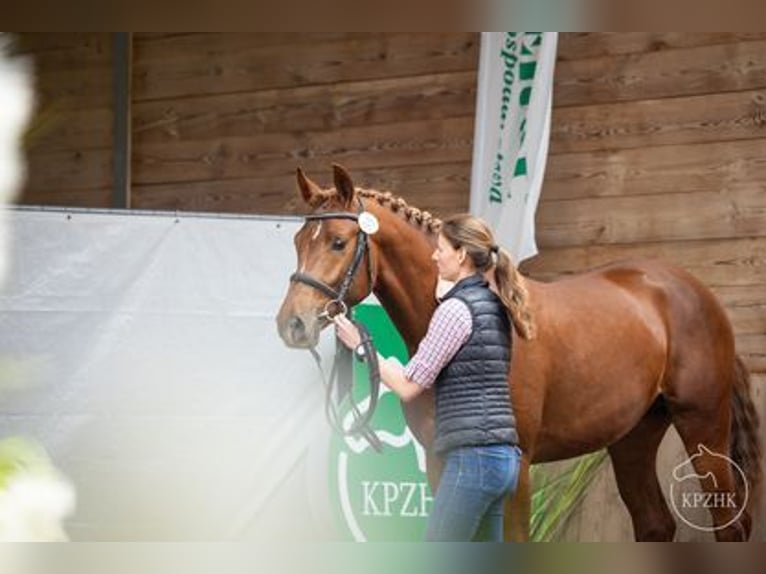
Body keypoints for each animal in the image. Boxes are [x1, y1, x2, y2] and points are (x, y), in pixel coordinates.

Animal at [276, 165, 760, 540]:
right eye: (298, 241)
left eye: (338, 242)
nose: (292, 324)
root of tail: (695, 291)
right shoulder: (441, 463)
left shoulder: (517, 469)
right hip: (634, 437)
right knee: (655, 524)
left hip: (703, 424)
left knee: (728, 524)